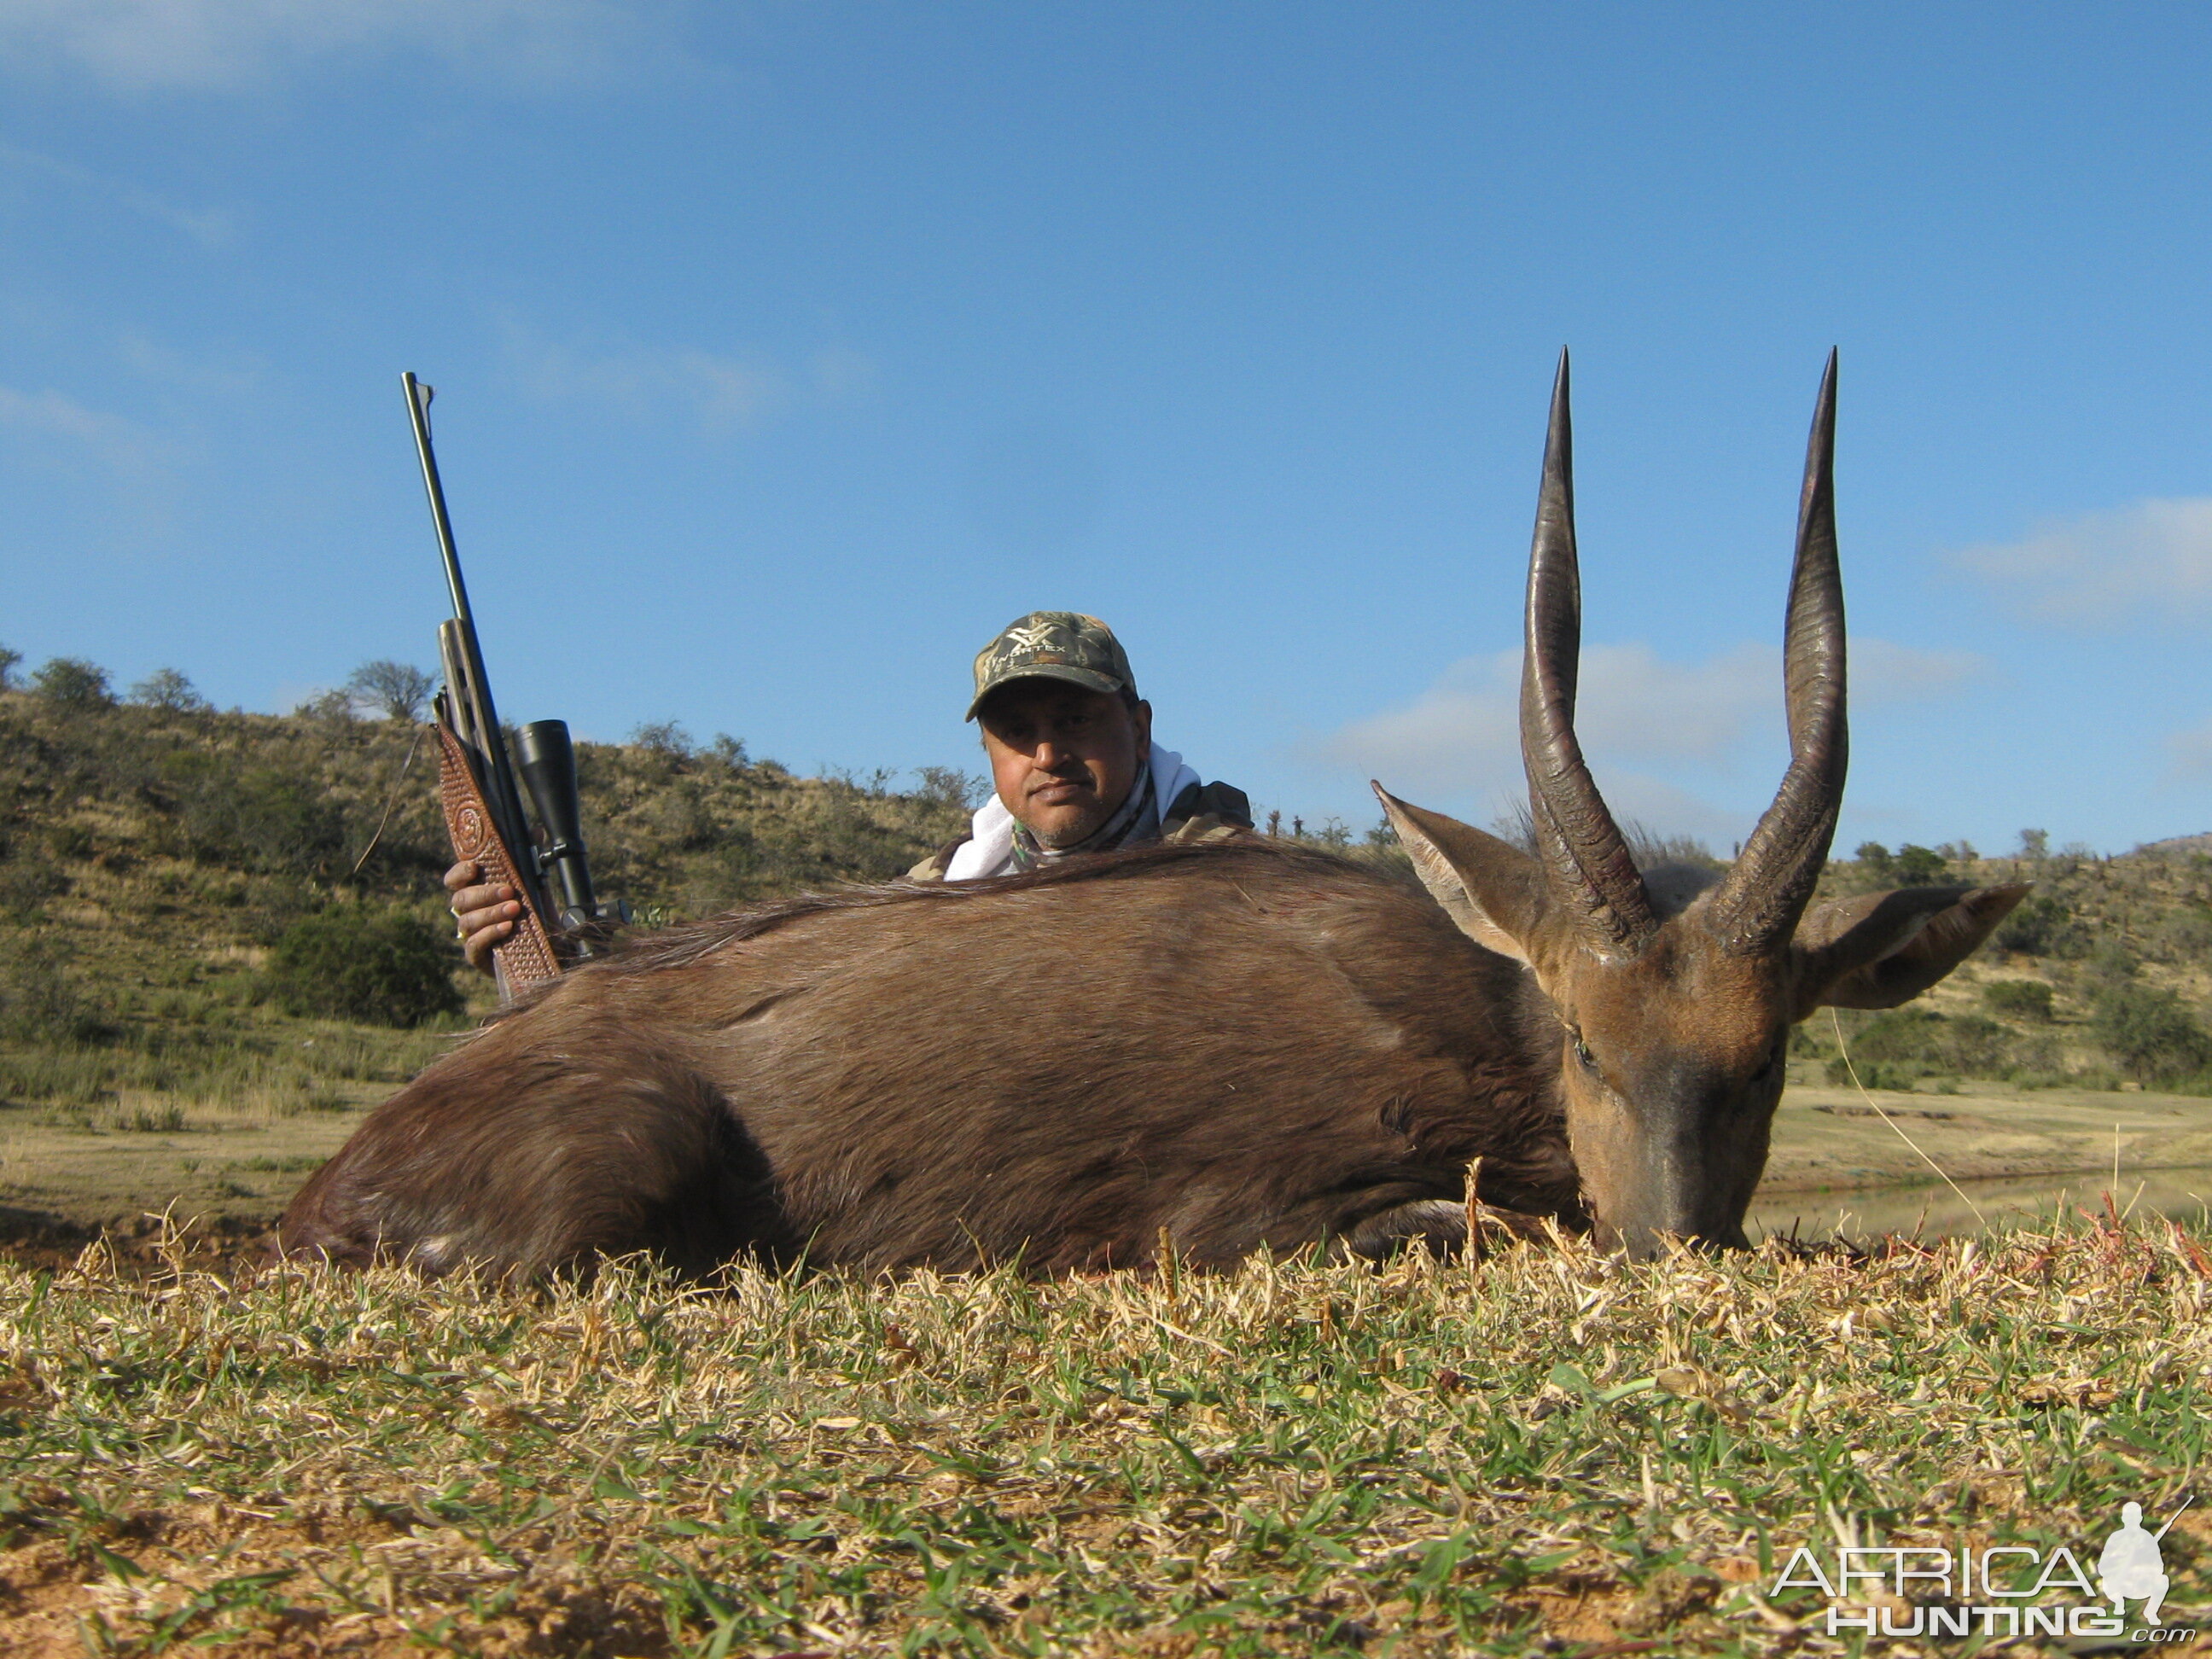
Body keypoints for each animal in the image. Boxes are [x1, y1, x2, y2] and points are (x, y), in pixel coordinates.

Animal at [276, 358, 2026, 1283]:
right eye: (1592, 1047)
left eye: (1766, 1060)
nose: (1672, 1250)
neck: (1474, 1006)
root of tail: (332, 1180)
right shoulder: (1231, 1213)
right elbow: (1462, 1226)